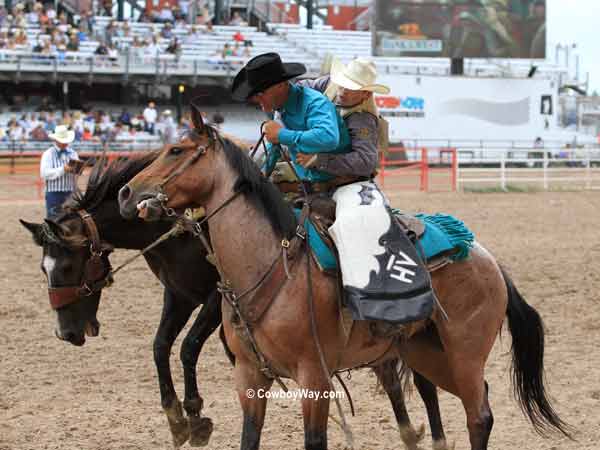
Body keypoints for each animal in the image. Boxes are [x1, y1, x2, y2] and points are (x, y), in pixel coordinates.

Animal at [22, 153, 454, 448]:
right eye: (42, 268)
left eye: (65, 266)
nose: (65, 333)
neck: (184, 231)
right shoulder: (179, 296)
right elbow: (161, 346)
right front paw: (176, 417)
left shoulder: (213, 300)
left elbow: (188, 347)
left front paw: (195, 414)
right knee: (388, 371)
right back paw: (409, 430)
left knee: (418, 379)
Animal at [118, 110, 572, 450]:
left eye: (176, 150)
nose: (126, 193)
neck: (271, 264)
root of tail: (487, 259)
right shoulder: (249, 376)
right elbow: (250, 438)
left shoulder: (315, 378)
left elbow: (314, 441)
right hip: (428, 353)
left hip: (464, 353)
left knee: (479, 416)